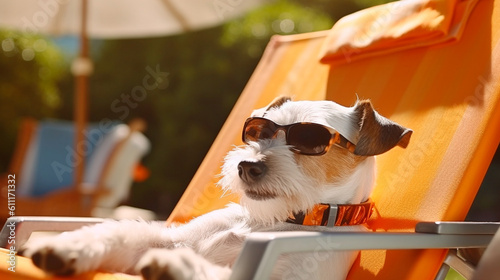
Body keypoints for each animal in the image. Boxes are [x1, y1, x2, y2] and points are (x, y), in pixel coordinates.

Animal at [21, 97, 412, 280]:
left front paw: (177, 266)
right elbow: (121, 232)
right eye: (259, 131)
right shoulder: (172, 237)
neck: (271, 222)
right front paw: (70, 245)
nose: (247, 166)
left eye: (311, 140)